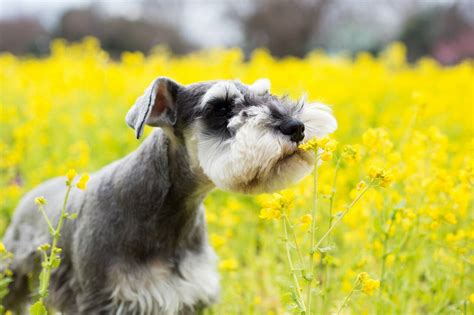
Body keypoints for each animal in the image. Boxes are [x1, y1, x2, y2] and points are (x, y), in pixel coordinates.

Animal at [3, 77, 336, 315]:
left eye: (266, 94)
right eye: (220, 108)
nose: (296, 127)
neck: (164, 210)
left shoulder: (190, 297)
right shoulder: (100, 301)